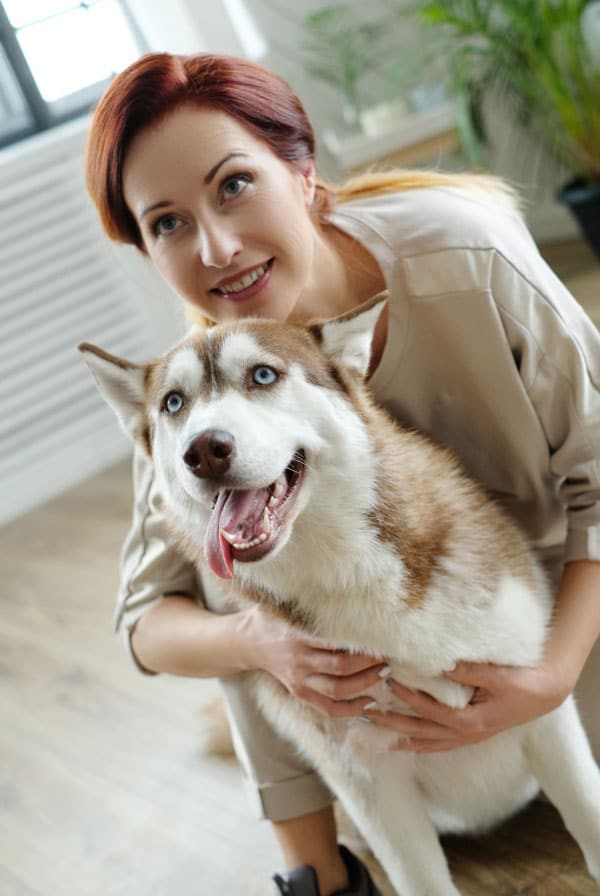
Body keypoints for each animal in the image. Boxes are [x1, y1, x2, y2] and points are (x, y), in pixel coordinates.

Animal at [81, 296, 600, 896]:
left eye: (263, 375)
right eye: (173, 403)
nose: (204, 450)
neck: (349, 571)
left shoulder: (541, 710)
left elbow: (588, 819)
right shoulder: (370, 784)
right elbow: (421, 879)